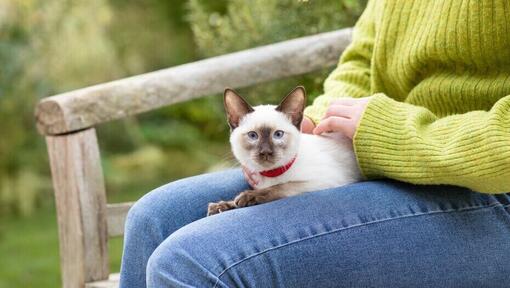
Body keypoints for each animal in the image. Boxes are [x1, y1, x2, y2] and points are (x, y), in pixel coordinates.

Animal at [205, 86, 360, 216]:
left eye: (278, 134)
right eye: (253, 135)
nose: (265, 152)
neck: (271, 174)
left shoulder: (325, 181)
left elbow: (281, 186)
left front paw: (247, 196)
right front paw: (222, 205)